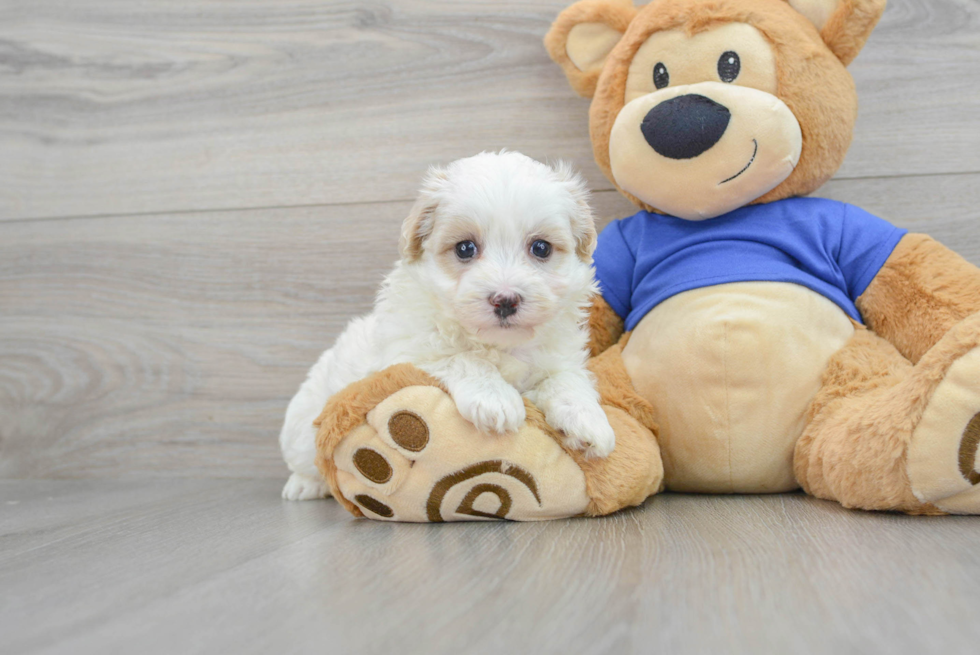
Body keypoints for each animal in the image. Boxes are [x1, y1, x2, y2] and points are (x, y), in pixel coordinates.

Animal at [278, 152, 612, 502]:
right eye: (465, 248)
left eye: (541, 248)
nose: (505, 300)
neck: (498, 344)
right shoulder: (408, 354)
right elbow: (462, 358)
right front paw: (494, 398)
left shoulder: (559, 359)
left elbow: (566, 381)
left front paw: (588, 420)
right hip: (302, 426)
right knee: (307, 459)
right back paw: (304, 485)